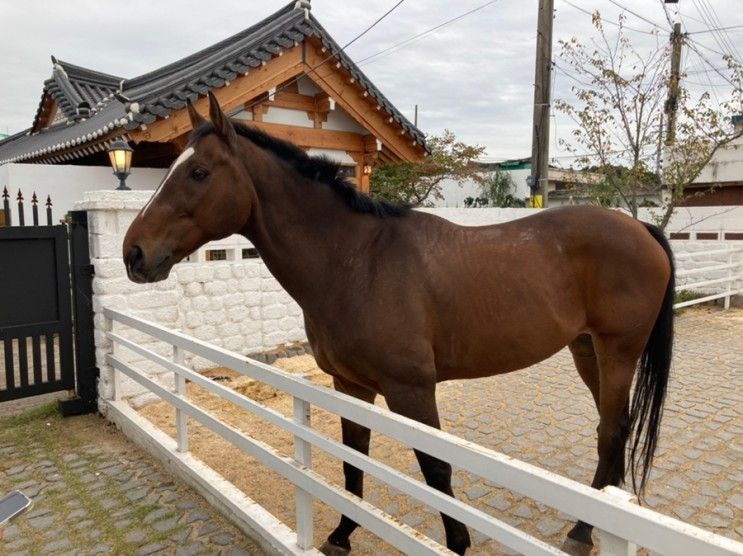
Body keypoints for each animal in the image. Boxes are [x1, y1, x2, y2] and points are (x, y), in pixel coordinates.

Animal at [122, 93, 676, 552]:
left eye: (198, 173)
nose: (134, 253)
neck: (356, 261)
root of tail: (640, 228)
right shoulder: (350, 385)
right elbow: (354, 457)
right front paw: (342, 534)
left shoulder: (412, 390)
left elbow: (436, 469)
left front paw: (457, 543)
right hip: (585, 349)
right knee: (611, 427)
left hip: (617, 350)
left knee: (613, 429)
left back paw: (582, 531)